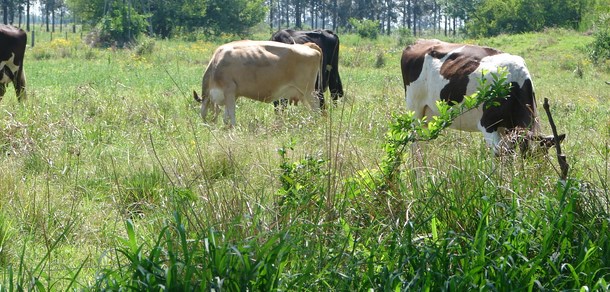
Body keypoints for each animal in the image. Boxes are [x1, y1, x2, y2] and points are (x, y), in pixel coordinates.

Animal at [194, 39, 324, 125]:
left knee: (316, 107)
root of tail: (308, 46)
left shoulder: (229, 90)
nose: (207, 125)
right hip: (302, 94)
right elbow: (226, 116)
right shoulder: (232, 95)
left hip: (308, 91)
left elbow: (231, 115)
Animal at [400, 40, 560, 156]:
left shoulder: (506, 129)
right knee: (415, 145)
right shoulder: (488, 125)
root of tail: (419, 42)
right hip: (415, 112)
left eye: (543, 159)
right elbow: (501, 156)